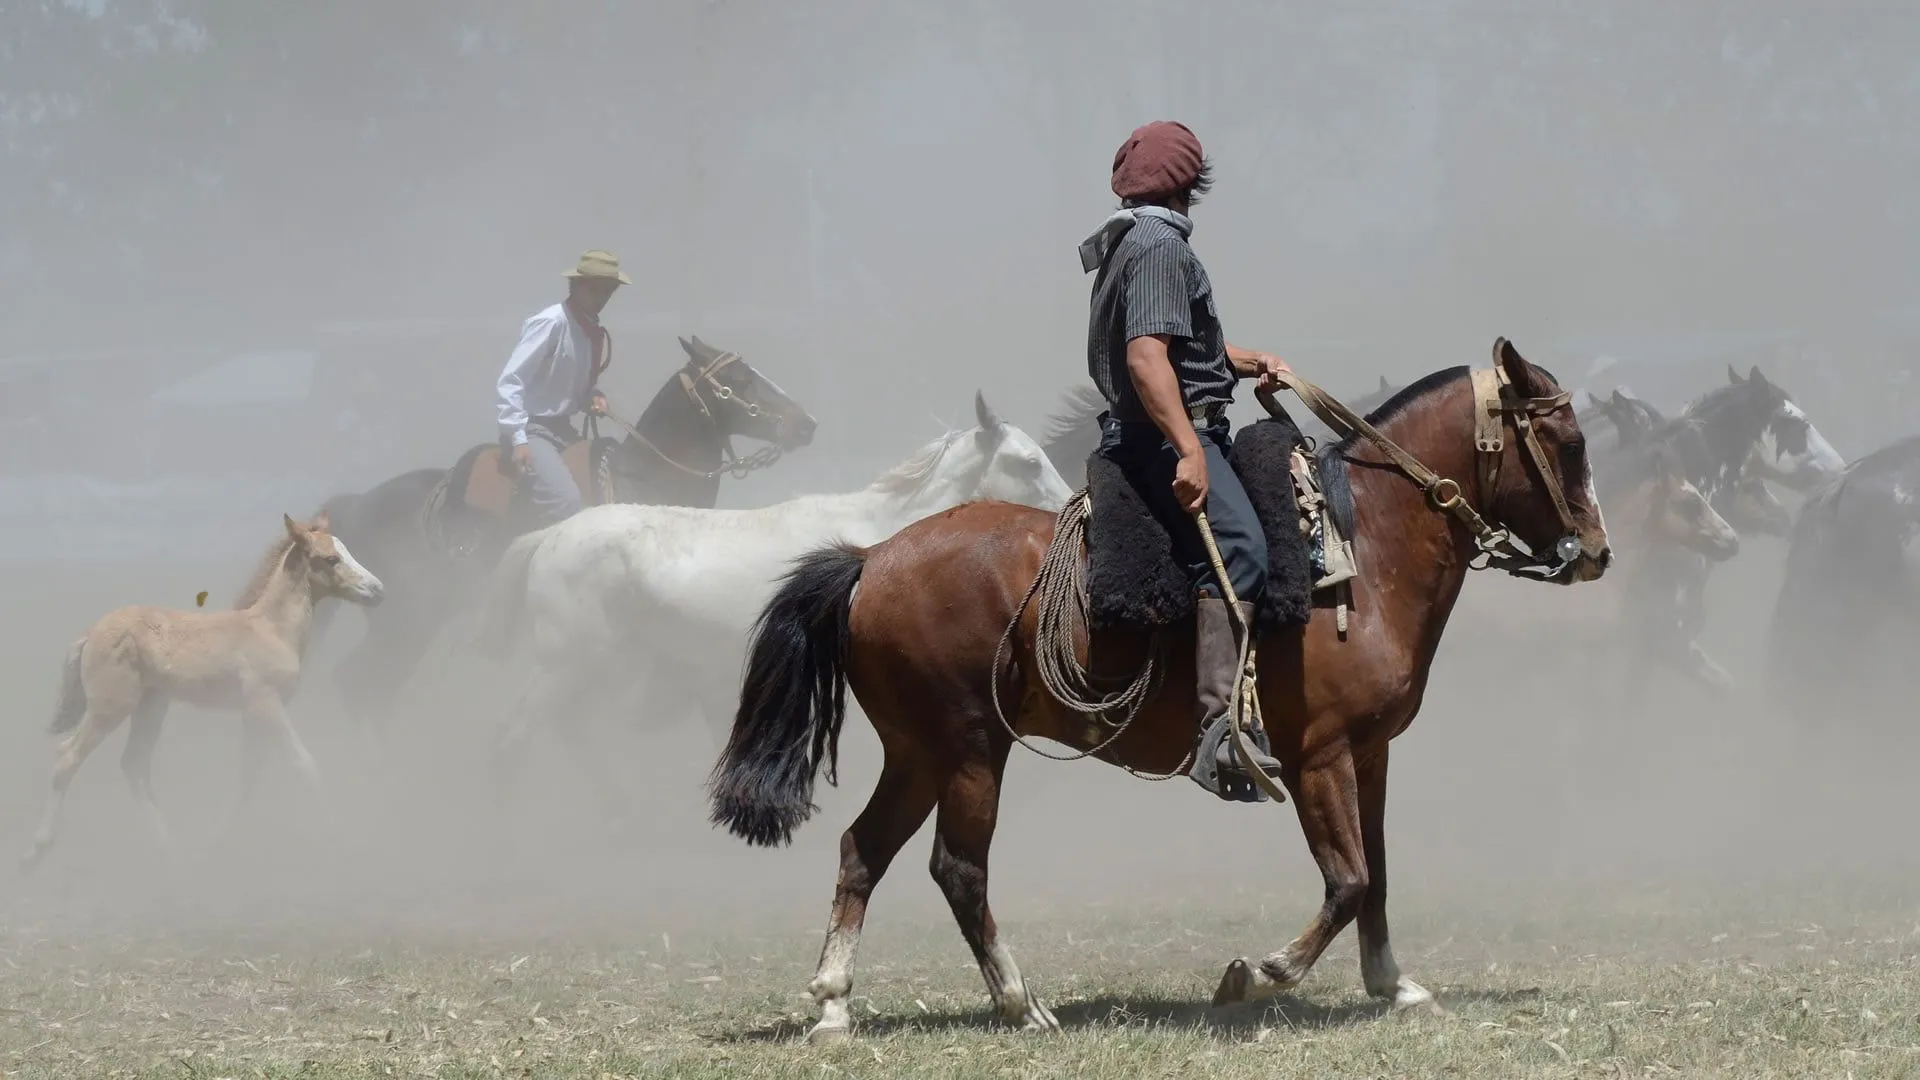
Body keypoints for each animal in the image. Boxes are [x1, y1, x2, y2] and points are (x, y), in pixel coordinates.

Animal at [20, 507, 382, 868]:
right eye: (331, 558)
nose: (378, 590)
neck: (272, 629)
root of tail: (90, 634)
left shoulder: (254, 713)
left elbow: (249, 775)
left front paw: (214, 842)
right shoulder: (266, 703)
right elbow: (304, 765)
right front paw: (339, 838)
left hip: (152, 705)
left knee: (133, 764)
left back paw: (168, 848)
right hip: (110, 706)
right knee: (68, 758)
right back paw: (36, 850)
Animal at [303, 336, 814, 734]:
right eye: (741, 380)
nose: (805, 423)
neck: (644, 482)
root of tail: (355, 502)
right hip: (406, 621)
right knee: (360, 684)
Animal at [706, 336, 1605, 1037]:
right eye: (1565, 440)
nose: (1596, 550)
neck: (1361, 549)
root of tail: (871, 559)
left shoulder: (1370, 754)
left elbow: (1376, 871)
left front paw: (1393, 984)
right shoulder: (1317, 757)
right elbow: (1347, 880)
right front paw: (1256, 976)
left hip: (918, 752)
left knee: (864, 850)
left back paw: (833, 1004)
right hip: (969, 749)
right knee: (957, 868)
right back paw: (1020, 1002)